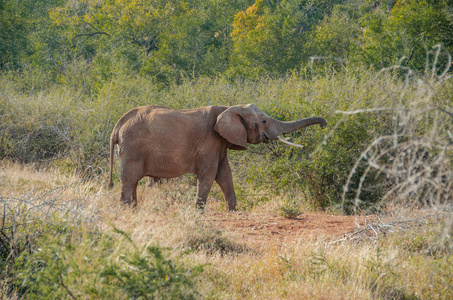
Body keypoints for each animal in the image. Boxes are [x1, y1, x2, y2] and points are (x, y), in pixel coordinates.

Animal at [109, 103, 324, 211]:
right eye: (263, 121)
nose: (324, 124)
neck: (230, 108)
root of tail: (117, 126)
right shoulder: (209, 141)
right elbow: (209, 174)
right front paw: (199, 212)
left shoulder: (220, 144)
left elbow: (224, 174)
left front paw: (232, 211)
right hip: (133, 149)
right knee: (130, 180)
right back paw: (126, 209)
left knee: (133, 181)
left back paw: (134, 208)